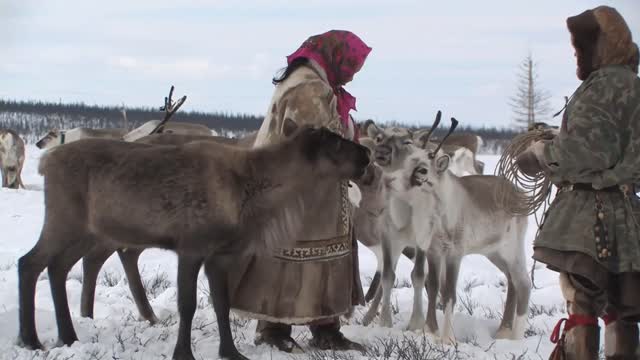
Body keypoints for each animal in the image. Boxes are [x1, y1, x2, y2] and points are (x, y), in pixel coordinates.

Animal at [18, 126, 370, 360]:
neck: (251, 195)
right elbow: (187, 304)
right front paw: (183, 353)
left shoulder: (220, 255)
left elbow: (221, 303)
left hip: (88, 231)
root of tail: (45, 162)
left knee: (58, 267)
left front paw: (230, 352)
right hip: (65, 220)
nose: (366, 154)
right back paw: (31, 339)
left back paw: (67, 336)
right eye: (335, 143)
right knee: (30, 262)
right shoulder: (192, 246)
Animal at [388, 147, 532, 344]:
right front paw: (429, 331)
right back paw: (503, 332)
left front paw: (447, 338)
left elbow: (449, 292)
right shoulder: (433, 252)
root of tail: (521, 195)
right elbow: (433, 287)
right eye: (406, 162)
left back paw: (516, 339)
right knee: (511, 280)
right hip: (494, 253)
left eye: (423, 170)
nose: (389, 181)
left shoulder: (454, 254)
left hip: (512, 250)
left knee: (523, 283)